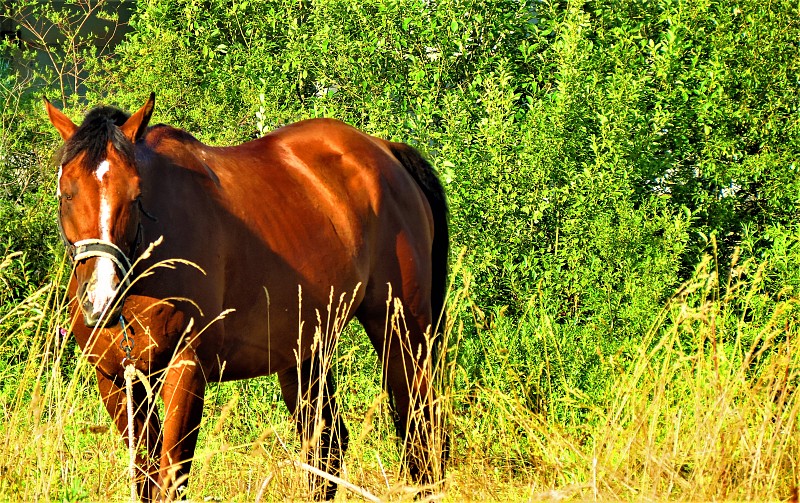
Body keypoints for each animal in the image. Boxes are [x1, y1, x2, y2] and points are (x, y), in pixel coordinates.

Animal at [45, 93, 450, 500]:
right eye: (66, 193)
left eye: (136, 195)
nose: (100, 300)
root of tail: (385, 152)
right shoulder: (115, 381)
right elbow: (146, 479)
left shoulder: (186, 372)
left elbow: (171, 481)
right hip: (307, 350)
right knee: (328, 446)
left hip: (402, 329)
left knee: (420, 433)